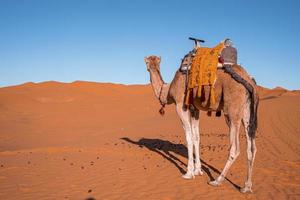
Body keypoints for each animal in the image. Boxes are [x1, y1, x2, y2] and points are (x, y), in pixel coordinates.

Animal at [144, 52, 258, 193]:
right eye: (149, 62)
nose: (149, 66)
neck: (169, 90)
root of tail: (249, 79)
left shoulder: (181, 105)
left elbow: (189, 138)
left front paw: (189, 173)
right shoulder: (195, 109)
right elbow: (196, 137)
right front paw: (198, 170)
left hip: (232, 110)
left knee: (235, 149)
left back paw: (217, 180)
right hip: (247, 110)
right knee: (251, 147)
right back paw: (246, 186)